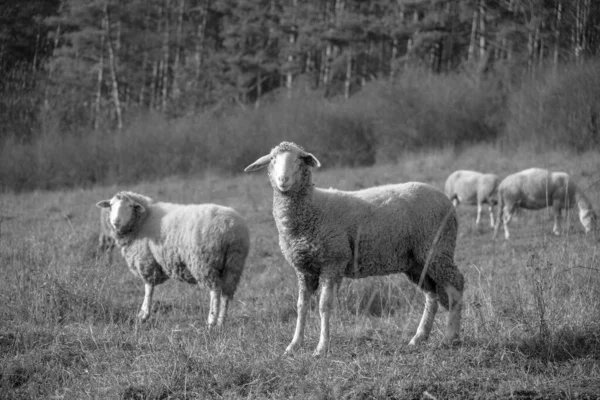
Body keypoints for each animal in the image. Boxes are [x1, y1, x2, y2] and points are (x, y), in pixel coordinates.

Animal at [96, 191, 251, 324]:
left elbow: (148, 288)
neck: (143, 219)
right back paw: (221, 322)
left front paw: (143, 314)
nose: (115, 221)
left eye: (129, 206)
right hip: (234, 263)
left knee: (215, 291)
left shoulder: (146, 259)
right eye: (111, 205)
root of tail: (231, 228)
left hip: (205, 262)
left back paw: (211, 321)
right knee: (226, 293)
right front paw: (144, 314)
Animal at [244, 141, 464, 356]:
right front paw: (294, 345)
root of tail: (445, 199)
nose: (283, 180)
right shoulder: (304, 269)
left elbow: (324, 305)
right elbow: (301, 306)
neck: (312, 209)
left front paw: (321, 348)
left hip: (436, 249)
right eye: (273, 159)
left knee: (455, 286)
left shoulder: (333, 261)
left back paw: (449, 337)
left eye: (299, 159)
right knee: (431, 295)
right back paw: (419, 337)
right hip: (417, 261)